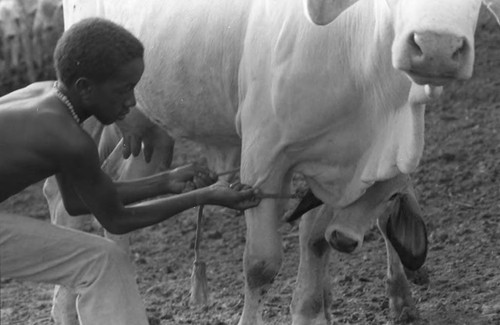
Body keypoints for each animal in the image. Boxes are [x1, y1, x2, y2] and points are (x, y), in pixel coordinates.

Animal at [57, 0, 500, 324]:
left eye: (390, 194)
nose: (436, 47)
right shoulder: (264, 159)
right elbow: (261, 265)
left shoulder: (337, 170)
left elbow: (316, 242)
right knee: (69, 201)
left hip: (152, 132)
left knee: (117, 189)